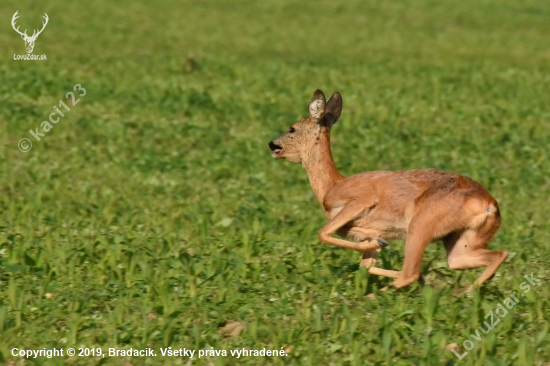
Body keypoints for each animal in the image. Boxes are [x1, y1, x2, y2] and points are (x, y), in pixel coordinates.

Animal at [268, 90, 508, 294]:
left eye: (292, 129)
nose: (272, 144)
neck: (331, 185)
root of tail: (489, 204)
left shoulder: (361, 199)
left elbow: (323, 234)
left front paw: (381, 246)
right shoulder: (367, 230)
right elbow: (365, 265)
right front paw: (381, 247)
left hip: (421, 224)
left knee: (409, 273)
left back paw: (375, 297)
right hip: (461, 240)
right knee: (495, 255)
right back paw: (461, 293)